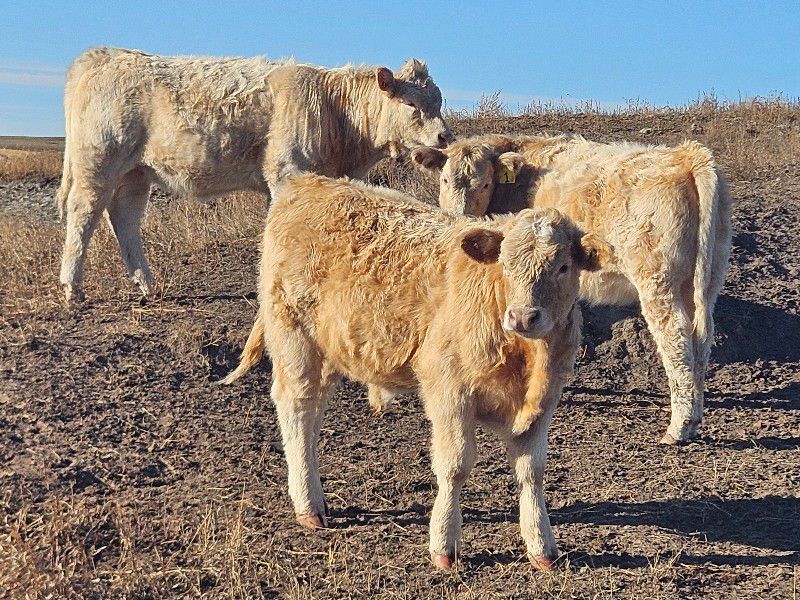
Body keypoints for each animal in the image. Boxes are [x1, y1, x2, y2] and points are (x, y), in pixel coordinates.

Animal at [56, 47, 453, 302]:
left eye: (438, 102)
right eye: (411, 103)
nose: (445, 136)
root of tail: (104, 54)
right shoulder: (287, 171)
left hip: (137, 173)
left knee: (124, 218)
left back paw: (147, 284)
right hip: (98, 162)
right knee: (84, 214)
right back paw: (72, 287)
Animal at [224, 173, 614, 570]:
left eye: (563, 267)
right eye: (505, 265)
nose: (522, 316)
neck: (528, 359)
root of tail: (307, 183)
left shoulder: (544, 404)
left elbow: (532, 470)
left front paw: (541, 546)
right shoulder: (448, 390)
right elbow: (455, 464)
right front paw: (443, 545)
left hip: (330, 351)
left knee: (313, 415)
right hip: (294, 342)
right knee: (297, 411)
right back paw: (308, 505)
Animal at [410, 134, 733, 444]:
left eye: (486, 183)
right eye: (445, 180)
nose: (462, 217)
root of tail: (685, 154)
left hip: (658, 279)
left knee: (676, 338)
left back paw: (679, 427)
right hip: (706, 279)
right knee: (702, 338)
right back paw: (695, 415)